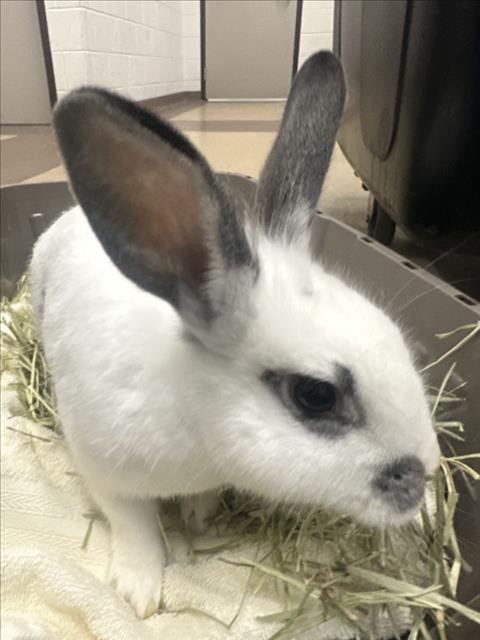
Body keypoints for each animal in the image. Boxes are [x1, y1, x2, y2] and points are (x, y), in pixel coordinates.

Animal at [29, 51, 440, 619]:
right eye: (315, 394)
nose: (422, 478)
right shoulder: (104, 470)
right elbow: (134, 524)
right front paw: (139, 593)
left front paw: (199, 518)